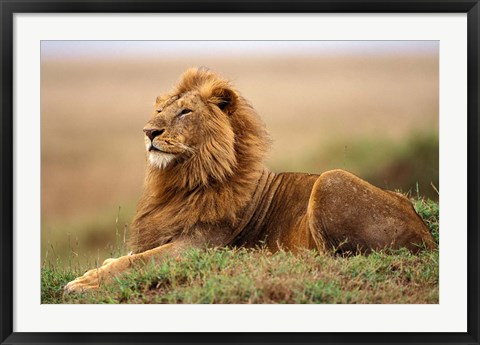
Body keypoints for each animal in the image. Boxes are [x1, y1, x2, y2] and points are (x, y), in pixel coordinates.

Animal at [63, 66, 436, 292]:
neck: (181, 180)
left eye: (185, 111)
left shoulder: (198, 245)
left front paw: (81, 284)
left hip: (331, 179)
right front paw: (93, 271)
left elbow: (135, 262)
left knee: (330, 257)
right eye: (159, 111)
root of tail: (427, 236)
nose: (149, 131)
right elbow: (123, 258)